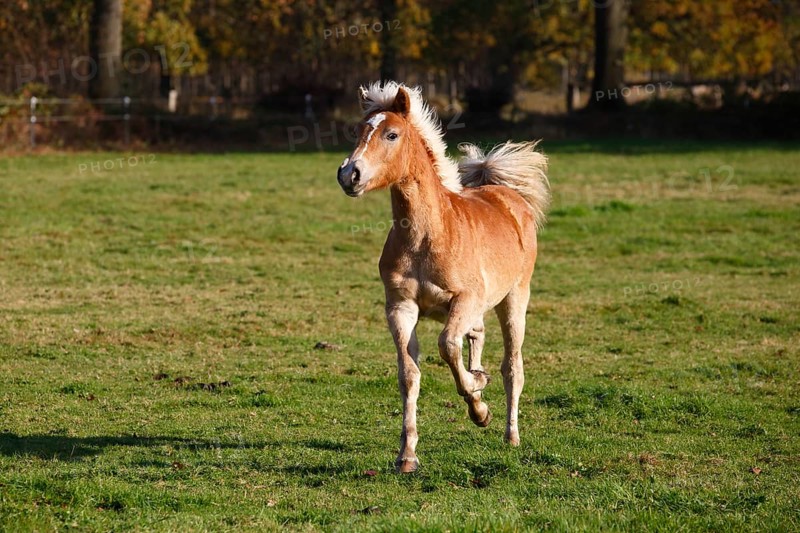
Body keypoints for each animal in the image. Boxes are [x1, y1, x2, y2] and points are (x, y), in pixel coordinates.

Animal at [336, 81, 550, 473]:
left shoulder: (463, 300)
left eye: (391, 134)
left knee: (512, 366)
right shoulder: (400, 308)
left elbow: (448, 346)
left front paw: (479, 407)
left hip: (514, 299)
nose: (349, 175)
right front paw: (406, 455)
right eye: (358, 131)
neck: (425, 237)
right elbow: (409, 375)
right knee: (478, 334)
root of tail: (508, 196)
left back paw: (510, 434)